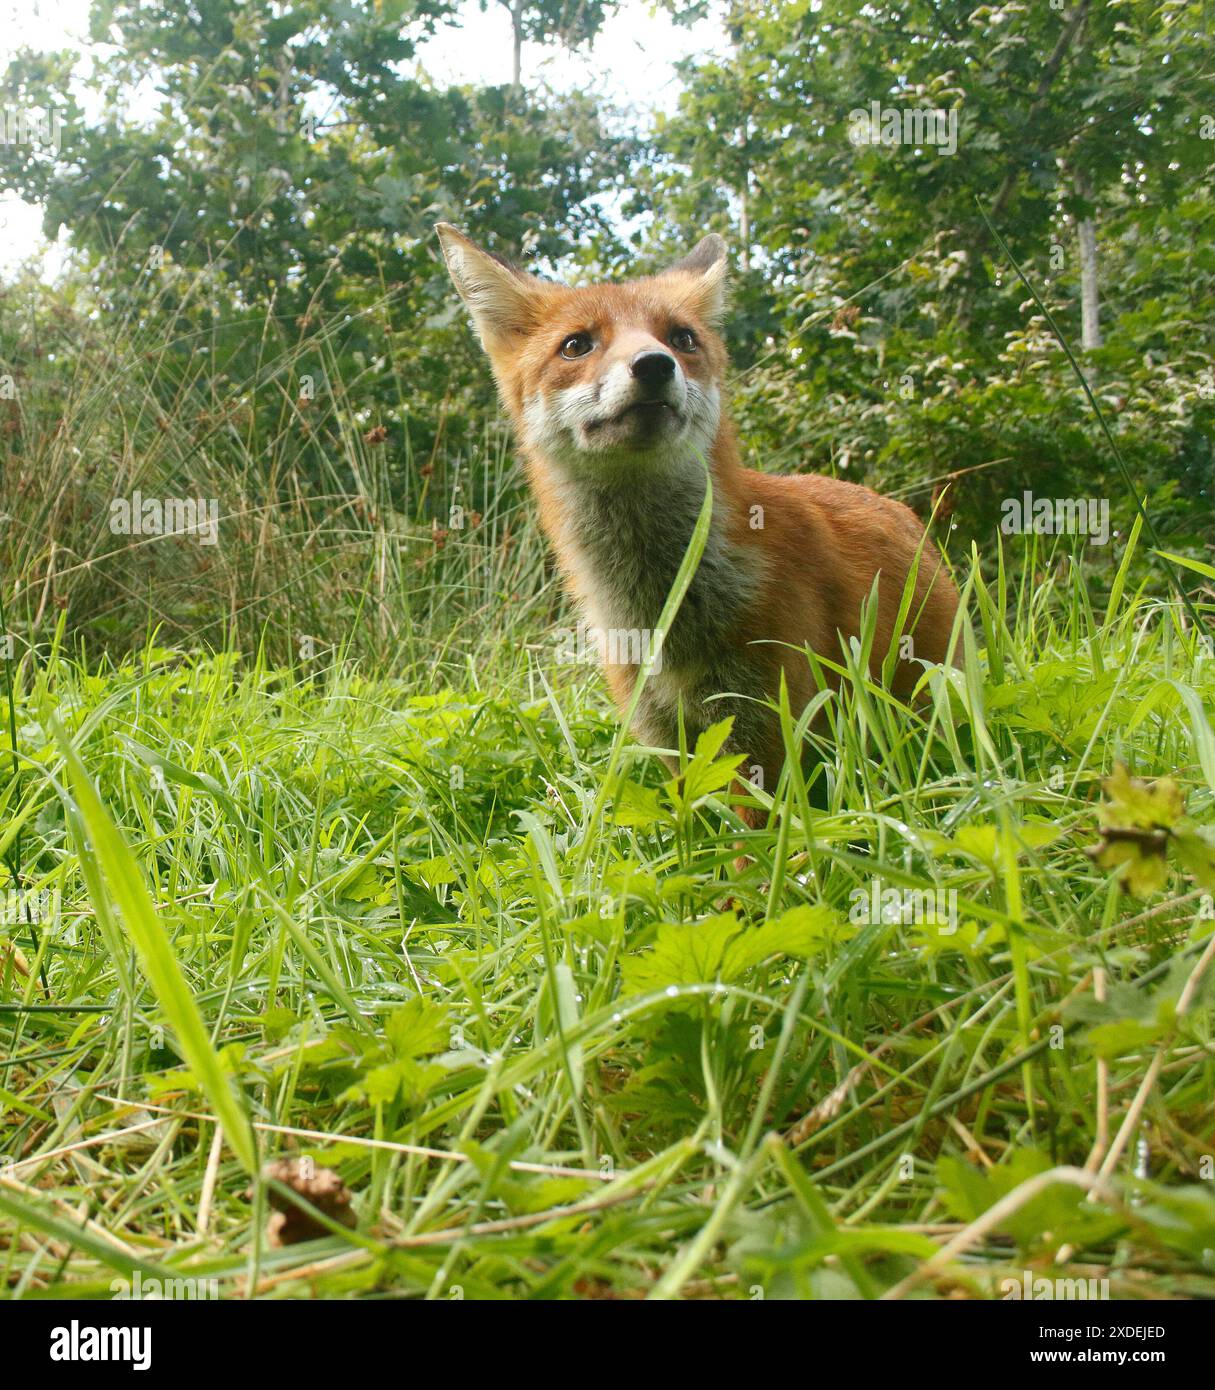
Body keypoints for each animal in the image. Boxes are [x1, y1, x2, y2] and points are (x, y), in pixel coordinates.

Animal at [436, 226, 956, 811]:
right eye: (576, 344)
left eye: (682, 339)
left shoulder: (765, 727)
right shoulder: (662, 730)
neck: (664, 608)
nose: (654, 364)